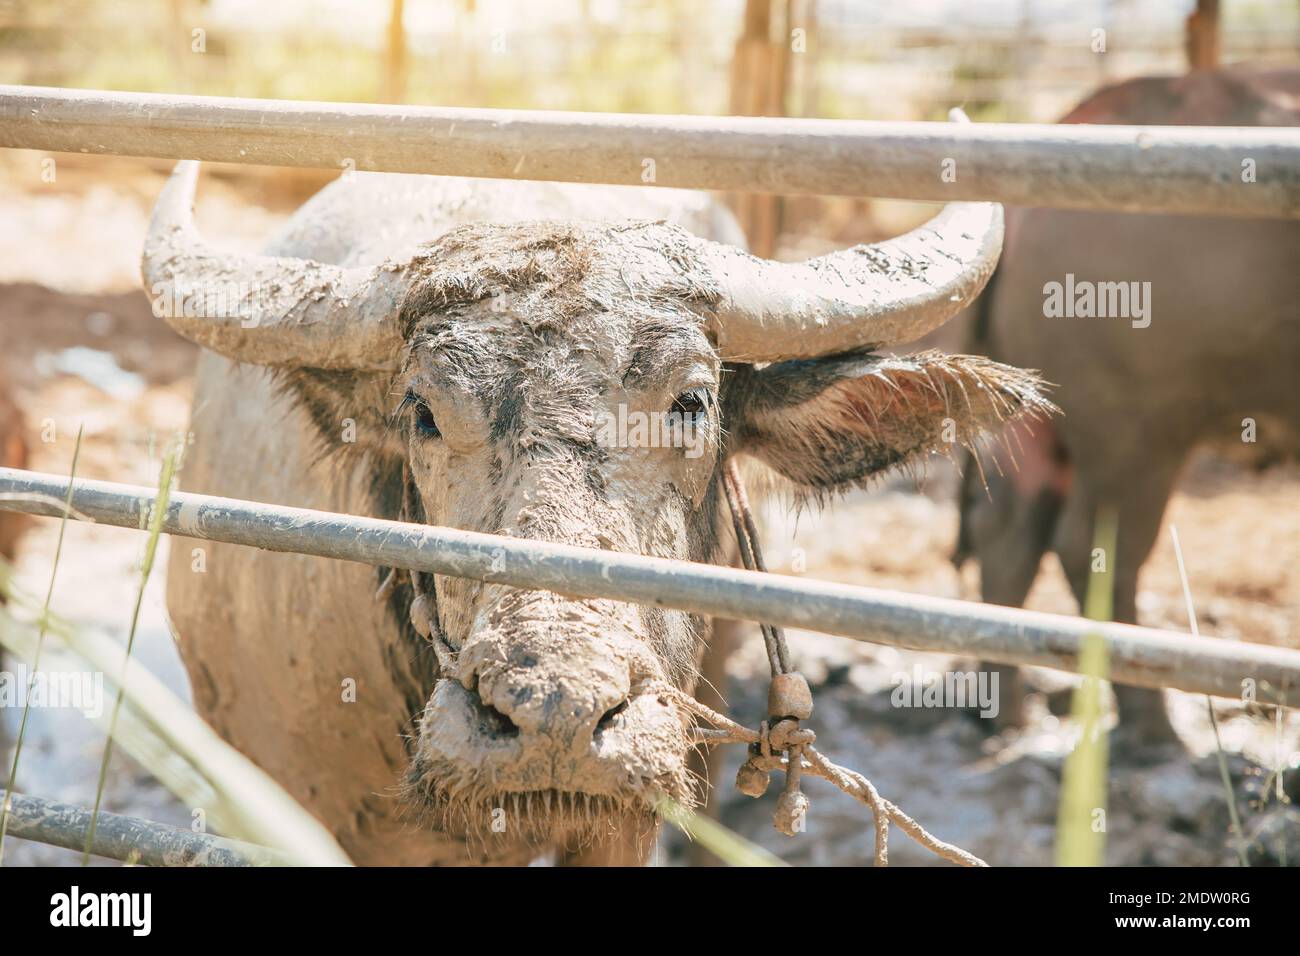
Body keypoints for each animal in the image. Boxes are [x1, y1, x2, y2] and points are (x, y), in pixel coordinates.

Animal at [956, 69, 1300, 754]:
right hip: (1138, 433)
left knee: (1007, 532)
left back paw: (1004, 713)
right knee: (1095, 548)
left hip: (1037, 424)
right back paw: (1153, 722)